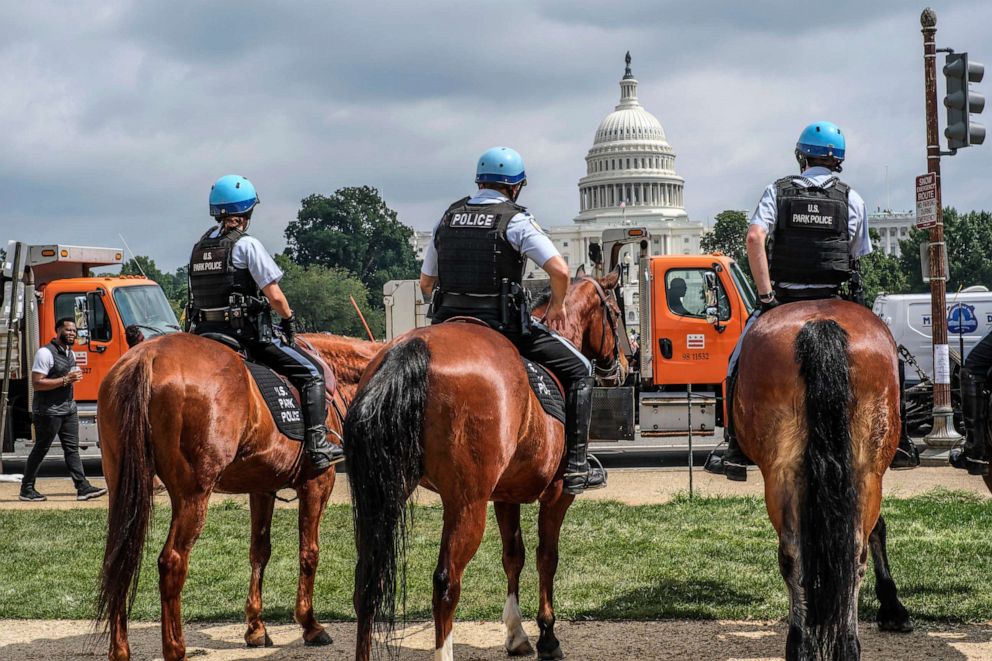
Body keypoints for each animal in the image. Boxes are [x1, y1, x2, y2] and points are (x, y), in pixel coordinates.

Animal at [94, 330, 380, 660]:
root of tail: (148, 356)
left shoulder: (261, 488)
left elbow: (259, 552)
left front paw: (256, 627)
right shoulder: (318, 484)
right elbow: (309, 553)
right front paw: (310, 624)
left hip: (121, 488)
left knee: (118, 560)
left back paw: (120, 650)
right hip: (193, 497)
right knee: (171, 562)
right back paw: (175, 648)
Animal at [344, 270, 624, 656]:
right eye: (615, 311)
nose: (625, 362)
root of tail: (411, 350)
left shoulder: (505, 496)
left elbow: (513, 555)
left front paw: (517, 634)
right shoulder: (557, 494)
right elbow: (547, 557)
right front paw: (547, 636)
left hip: (386, 495)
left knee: (366, 582)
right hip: (466, 504)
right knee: (446, 583)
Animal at [736, 300, 908, 660]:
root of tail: (821, 322)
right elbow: (877, 529)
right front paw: (891, 605)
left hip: (790, 474)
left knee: (807, 554)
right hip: (858, 472)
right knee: (837, 555)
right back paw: (828, 643)